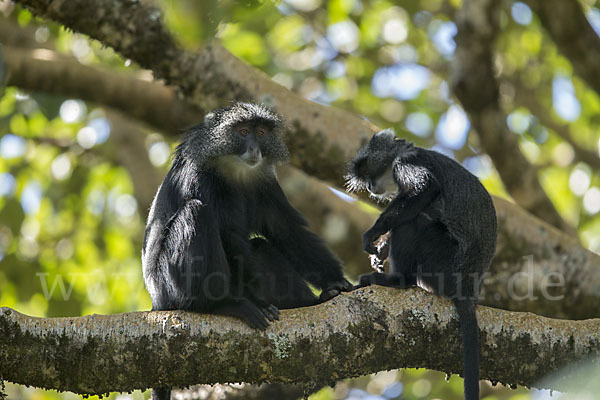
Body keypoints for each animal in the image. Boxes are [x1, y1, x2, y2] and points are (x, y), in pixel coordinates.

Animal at [143, 102, 354, 400]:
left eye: (261, 132)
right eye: (243, 132)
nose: (254, 149)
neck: (234, 171)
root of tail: (156, 302)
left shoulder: (265, 183)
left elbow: (287, 231)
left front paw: (337, 282)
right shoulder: (199, 177)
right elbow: (228, 235)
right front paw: (254, 303)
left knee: (261, 247)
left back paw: (312, 302)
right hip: (170, 284)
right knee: (196, 212)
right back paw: (218, 305)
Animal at [346, 129, 496, 400]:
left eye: (367, 169)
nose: (370, 186)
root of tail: (468, 287)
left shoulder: (407, 163)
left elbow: (425, 189)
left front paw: (374, 232)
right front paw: (380, 250)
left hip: (442, 261)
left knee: (415, 222)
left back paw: (397, 280)